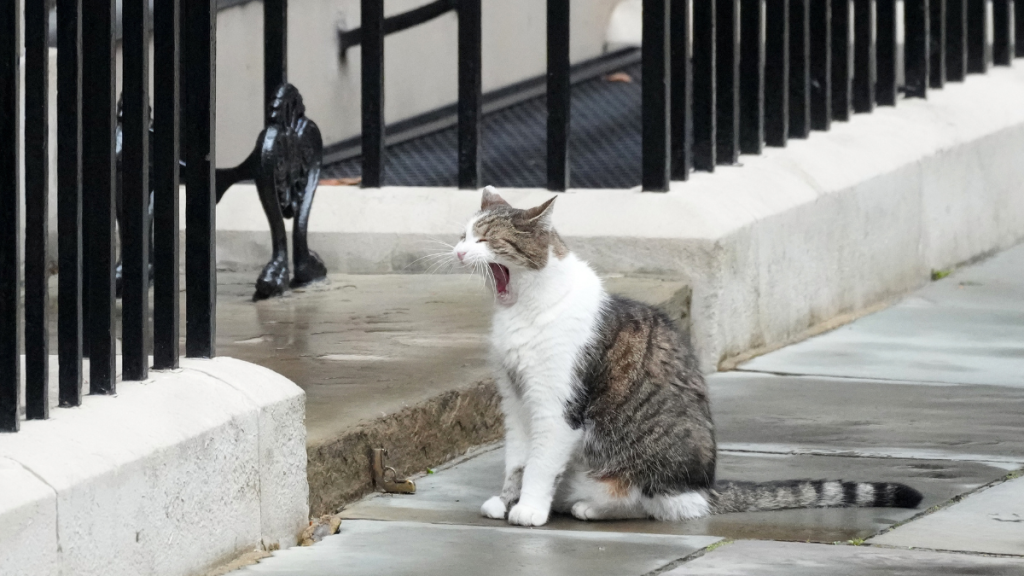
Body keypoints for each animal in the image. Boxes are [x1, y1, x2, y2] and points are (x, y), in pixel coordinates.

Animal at [452, 187, 925, 524]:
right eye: (463, 234)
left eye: (487, 238)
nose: (456, 251)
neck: (523, 309)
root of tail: (704, 487)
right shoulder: (516, 401)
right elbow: (517, 459)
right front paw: (505, 501)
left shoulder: (556, 405)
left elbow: (539, 463)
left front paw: (529, 510)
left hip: (637, 470)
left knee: (656, 504)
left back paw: (592, 506)